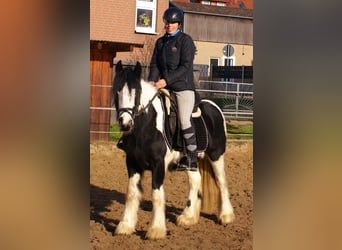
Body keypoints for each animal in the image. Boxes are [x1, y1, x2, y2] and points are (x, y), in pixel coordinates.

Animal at [112, 61, 235, 240]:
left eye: (137, 92)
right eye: (117, 91)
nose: (125, 123)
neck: (146, 127)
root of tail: (214, 107)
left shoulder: (158, 165)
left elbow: (156, 195)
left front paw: (156, 230)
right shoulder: (132, 163)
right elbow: (131, 193)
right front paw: (125, 226)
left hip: (216, 155)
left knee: (221, 181)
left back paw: (226, 216)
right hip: (191, 162)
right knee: (195, 181)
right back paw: (188, 217)